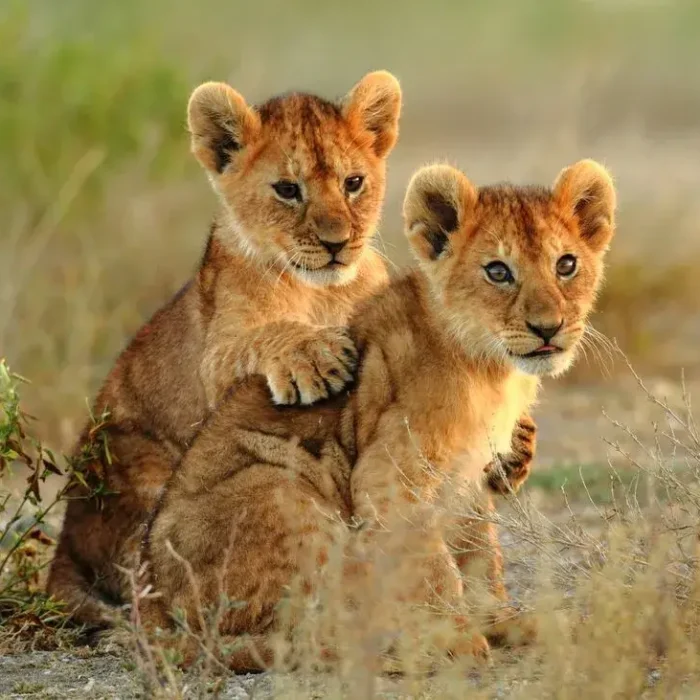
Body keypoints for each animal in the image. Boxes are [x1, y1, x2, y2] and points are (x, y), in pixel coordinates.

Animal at [46, 70, 402, 626]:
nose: (337, 243)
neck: (322, 292)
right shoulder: (217, 356)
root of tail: (63, 545)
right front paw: (314, 355)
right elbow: (259, 339)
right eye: (287, 190)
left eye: (353, 183)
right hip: (137, 468)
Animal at [140, 158, 616, 670]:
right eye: (498, 271)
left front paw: (502, 621)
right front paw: (455, 636)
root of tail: (152, 608)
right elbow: (432, 566)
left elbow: (479, 554)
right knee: (282, 633)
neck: (493, 371)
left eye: (566, 265)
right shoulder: (389, 477)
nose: (549, 329)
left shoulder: (467, 478)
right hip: (281, 486)